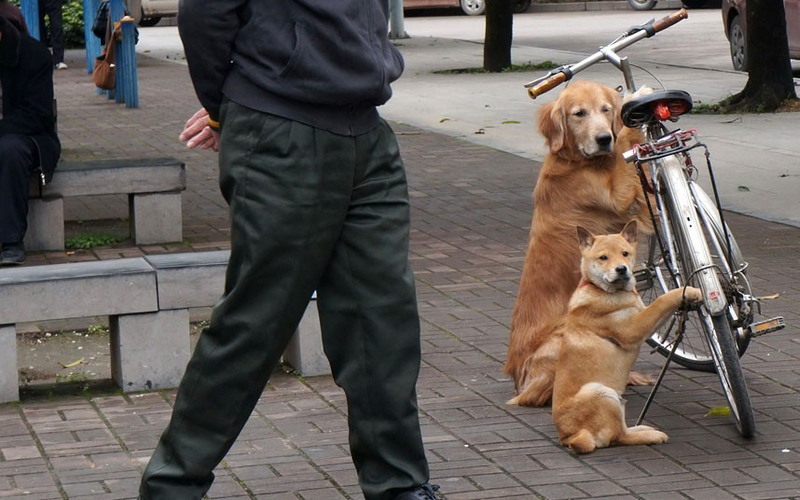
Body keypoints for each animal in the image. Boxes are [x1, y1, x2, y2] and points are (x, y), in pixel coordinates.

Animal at [506, 79, 656, 406]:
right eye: (579, 114)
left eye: (606, 109)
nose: (603, 138)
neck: (578, 160)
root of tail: (519, 381)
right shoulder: (617, 196)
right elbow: (625, 147)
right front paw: (637, 98)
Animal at [552, 223, 704, 454]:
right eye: (603, 257)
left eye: (625, 253)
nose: (621, 269)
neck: (602, 290)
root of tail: (568, 437)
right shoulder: (634, 328)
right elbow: (661, 300)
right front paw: (688, 291)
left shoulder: (644, 323)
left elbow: (660, 310)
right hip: (601, 392)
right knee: (617, 436)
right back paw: (650, 435)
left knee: (621, 429)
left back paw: (643, 428)